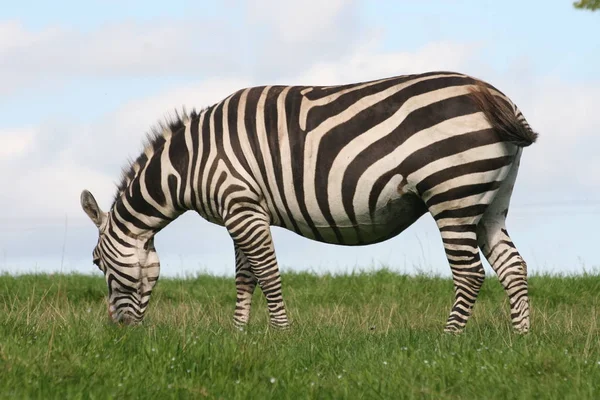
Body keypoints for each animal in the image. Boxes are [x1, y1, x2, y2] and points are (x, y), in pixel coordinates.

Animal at [81, 70, 540, 332]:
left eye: (98, 264)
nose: (118, 332)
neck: (190, 164)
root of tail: (488, 92)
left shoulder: (241, 205)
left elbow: (267, 273)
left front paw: (281, 336)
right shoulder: (242, 209)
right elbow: (245, 277)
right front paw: (239, 335)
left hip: (452, 194)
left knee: (470, 275)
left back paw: (448, 341)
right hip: (490, 200)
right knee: (513, 266)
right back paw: (521, 340)